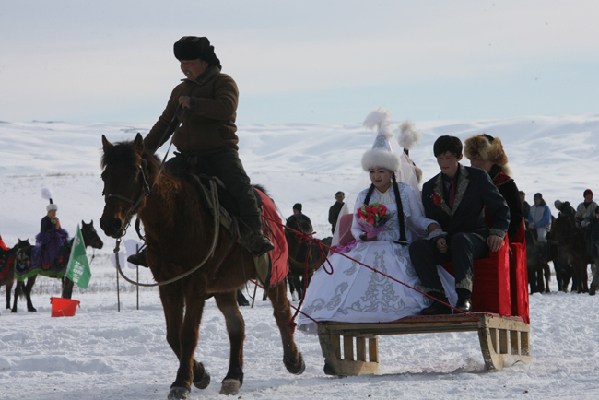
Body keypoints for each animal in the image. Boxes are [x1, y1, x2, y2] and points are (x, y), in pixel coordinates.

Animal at [99, 135, 304, 400]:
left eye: (134, 174)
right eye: (105, 176)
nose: (110, 224)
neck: (175, 218)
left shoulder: (195, 284)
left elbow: (188, 334)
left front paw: (182, 382)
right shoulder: (168, 285)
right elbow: (173, 334)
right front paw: (199, 374)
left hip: (273, 273)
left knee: (282, 314)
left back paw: (294, 360)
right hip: (225, 286)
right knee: (236, 324)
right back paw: (233, 376)